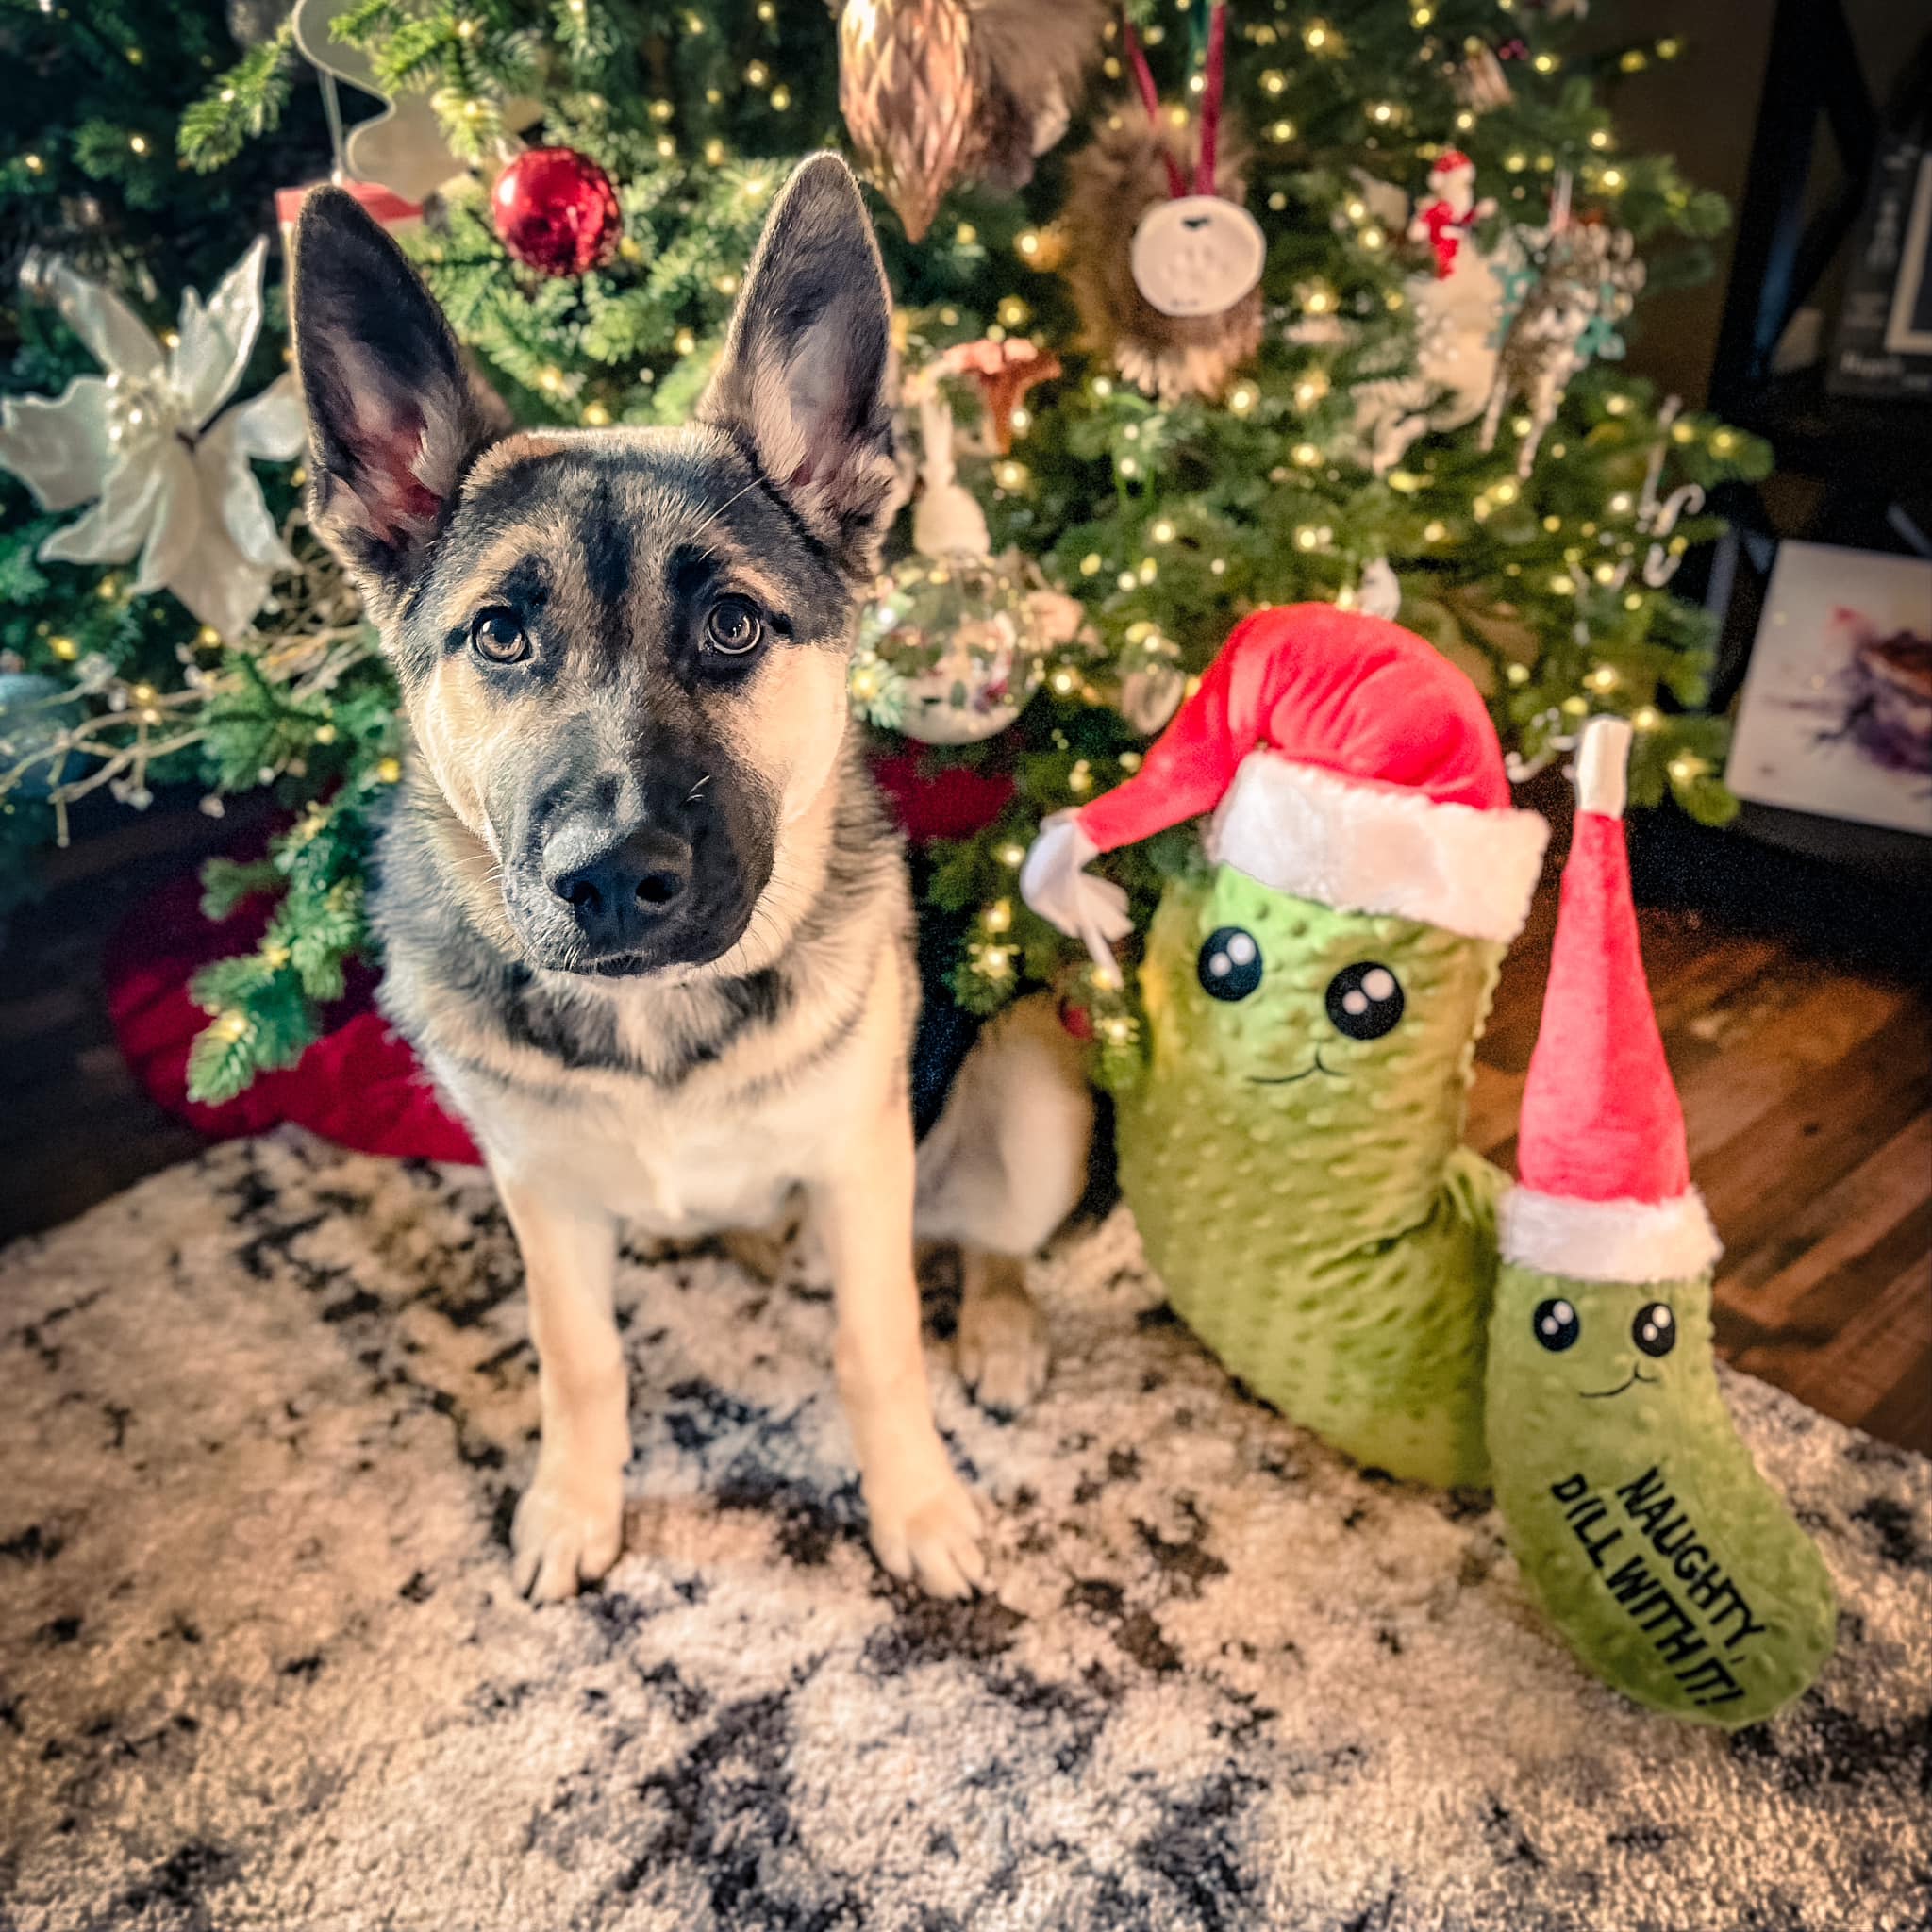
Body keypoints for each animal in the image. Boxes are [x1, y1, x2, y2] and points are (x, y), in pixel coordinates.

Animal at [293, 154, 1097, 1599]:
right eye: (500, 634)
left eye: (731, 625)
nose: (612, 879)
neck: (653, 1015)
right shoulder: (541, 1194)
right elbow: (578, 1360)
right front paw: (575, 1504)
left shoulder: (860, 1164)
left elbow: (879, 1345)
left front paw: (917, 1508)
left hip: (1032, 1102)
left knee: (981, 1244)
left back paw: (996, 1327)